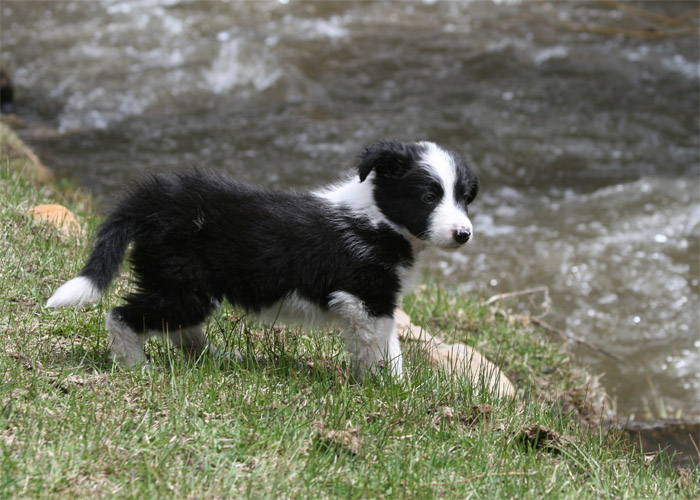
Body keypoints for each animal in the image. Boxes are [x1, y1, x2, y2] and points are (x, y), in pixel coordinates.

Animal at [46, 140, 479, 379]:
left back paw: (213, 358)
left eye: (464, 197)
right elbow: (383, 349)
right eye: (428, 196)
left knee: (180, 329)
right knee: (122, 315)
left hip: (182, 284)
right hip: (184, 284)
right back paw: (135, 365)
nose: (464, 234)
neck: (378, 218)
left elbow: (384, 344)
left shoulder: (377, 302)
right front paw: (392, 388)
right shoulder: (366, 299)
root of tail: (153, 200)